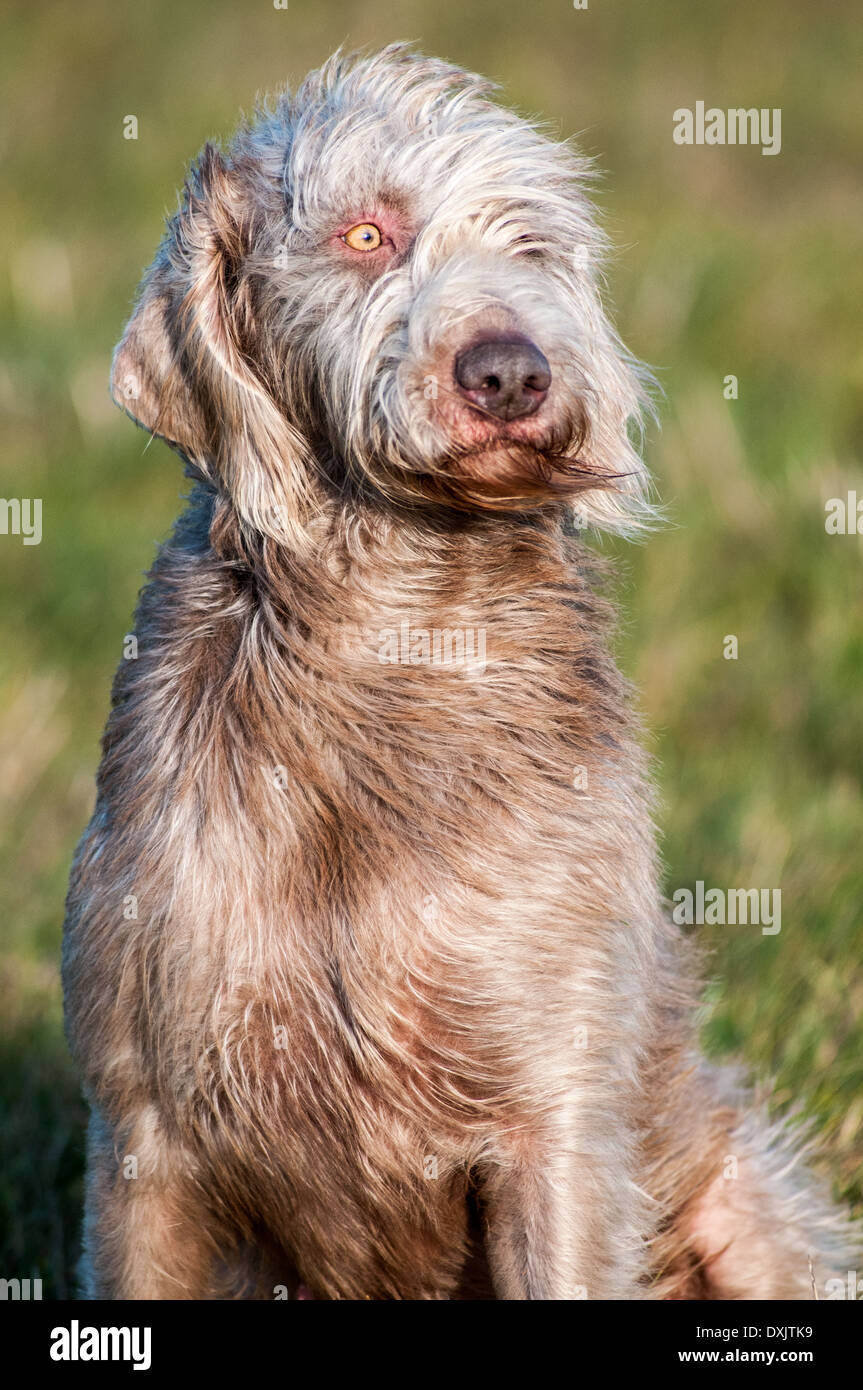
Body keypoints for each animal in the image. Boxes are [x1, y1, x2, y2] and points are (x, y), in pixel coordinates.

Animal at [62, 46, 856, 1301]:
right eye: (365, 234)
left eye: (531, 247)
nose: (507, 373)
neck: (399, 637)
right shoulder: (145, 1137)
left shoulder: (555, 1117)